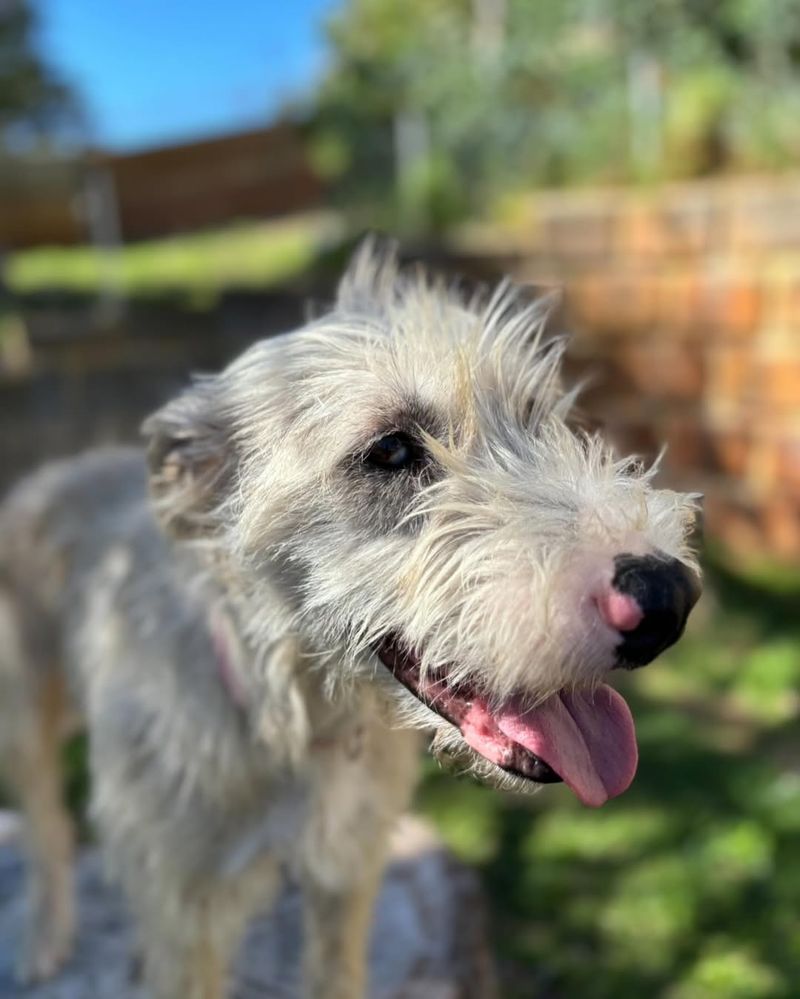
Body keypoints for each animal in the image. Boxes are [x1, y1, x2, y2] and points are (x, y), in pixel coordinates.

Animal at [0, 244, 700, 999]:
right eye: (391, 451)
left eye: (538, 416)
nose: (667, 598)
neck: (295, 719)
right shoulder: (184, 907)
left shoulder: (347, 872)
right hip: (24, 727)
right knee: (46, 827)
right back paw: (46, 935)